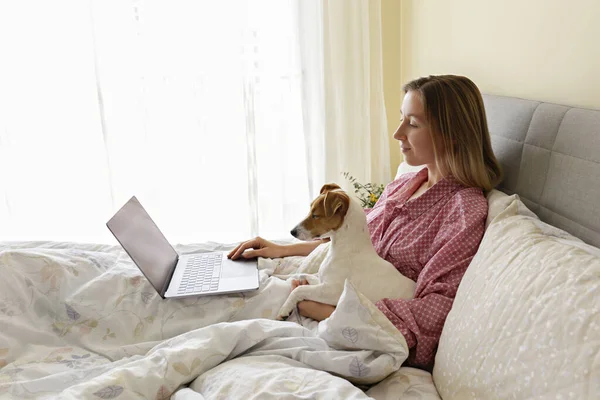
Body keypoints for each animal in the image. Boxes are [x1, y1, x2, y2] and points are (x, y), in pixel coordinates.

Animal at [278, 184, 414, 318]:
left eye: (315, 215)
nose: (292, 232)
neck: (345, 249)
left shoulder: (332, 292)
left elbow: (299, 289)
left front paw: (285, 308)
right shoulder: (322, 282)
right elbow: (302, 274)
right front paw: (280, 276)